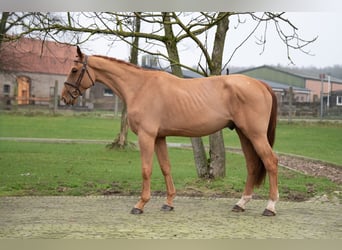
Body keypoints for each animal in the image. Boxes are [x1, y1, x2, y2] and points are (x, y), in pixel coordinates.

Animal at [62, 46, 280, 215]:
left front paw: (140, 204)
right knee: (252, 165)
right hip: (244, 134)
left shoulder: (147, 136)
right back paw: (241, 204)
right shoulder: (160, 137)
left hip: (255, 134)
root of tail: (261, 84)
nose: (65, 97)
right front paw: (168, 203)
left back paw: (270, 207)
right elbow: (165, 167)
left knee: (270, 162)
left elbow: (146, 169)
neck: (140, 87)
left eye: (74, 69)